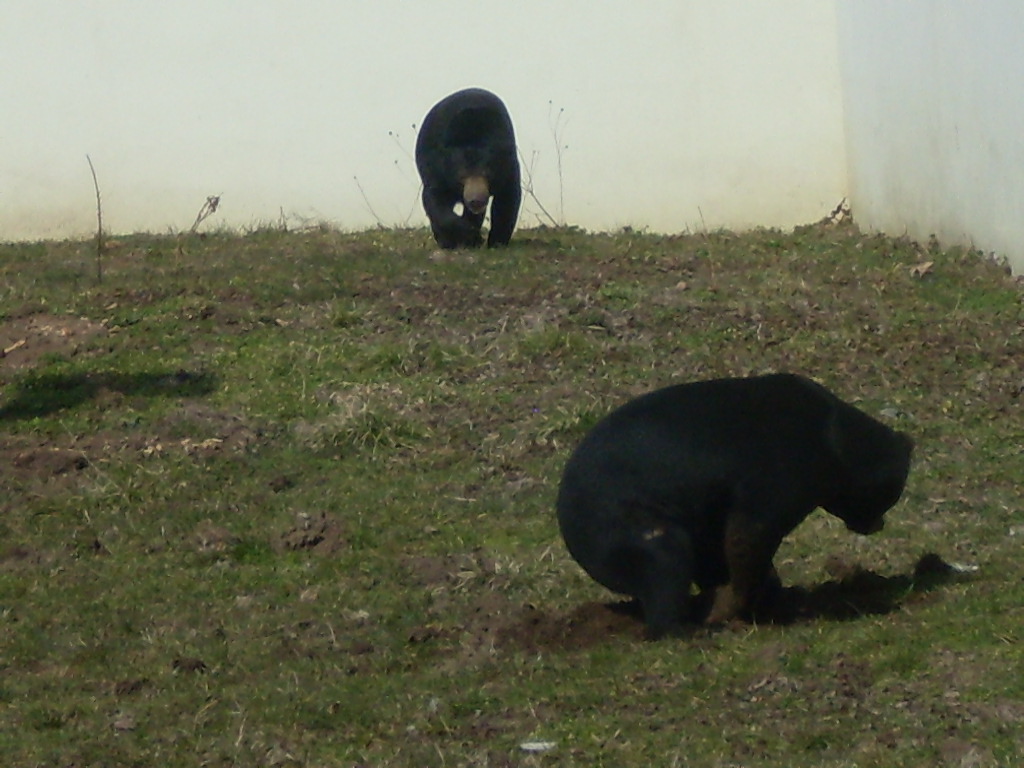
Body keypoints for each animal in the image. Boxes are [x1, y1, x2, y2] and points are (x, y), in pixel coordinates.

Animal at [415, 88, 521, 249]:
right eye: (462, 176)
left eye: (487, 174)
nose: (475, 200)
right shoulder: (437, 168)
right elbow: (434, 199)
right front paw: (468, 235)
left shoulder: (508, 164)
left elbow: (507, 198)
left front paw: (496, 242)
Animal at [555, 373, 913, 639]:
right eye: (890, 495)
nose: (877, 525)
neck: (834, 438)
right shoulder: (782, 471)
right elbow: (750, 533)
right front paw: (732, 608)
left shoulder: (711, 507)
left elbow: (719, 549)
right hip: (627, 525)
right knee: (664, 566)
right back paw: (687, 630)